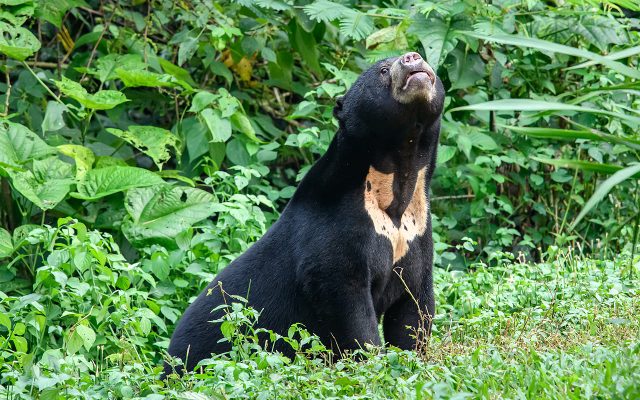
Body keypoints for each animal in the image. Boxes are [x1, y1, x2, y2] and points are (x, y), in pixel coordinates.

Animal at [165, 51, 445, 375]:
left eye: (419, 56)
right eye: (383, 71)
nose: (412, 57)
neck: (395, 185)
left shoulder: (417, 235)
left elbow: (414, 308)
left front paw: (413, 361)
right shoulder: (336, 232)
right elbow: (347, 305)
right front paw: (373, 365)